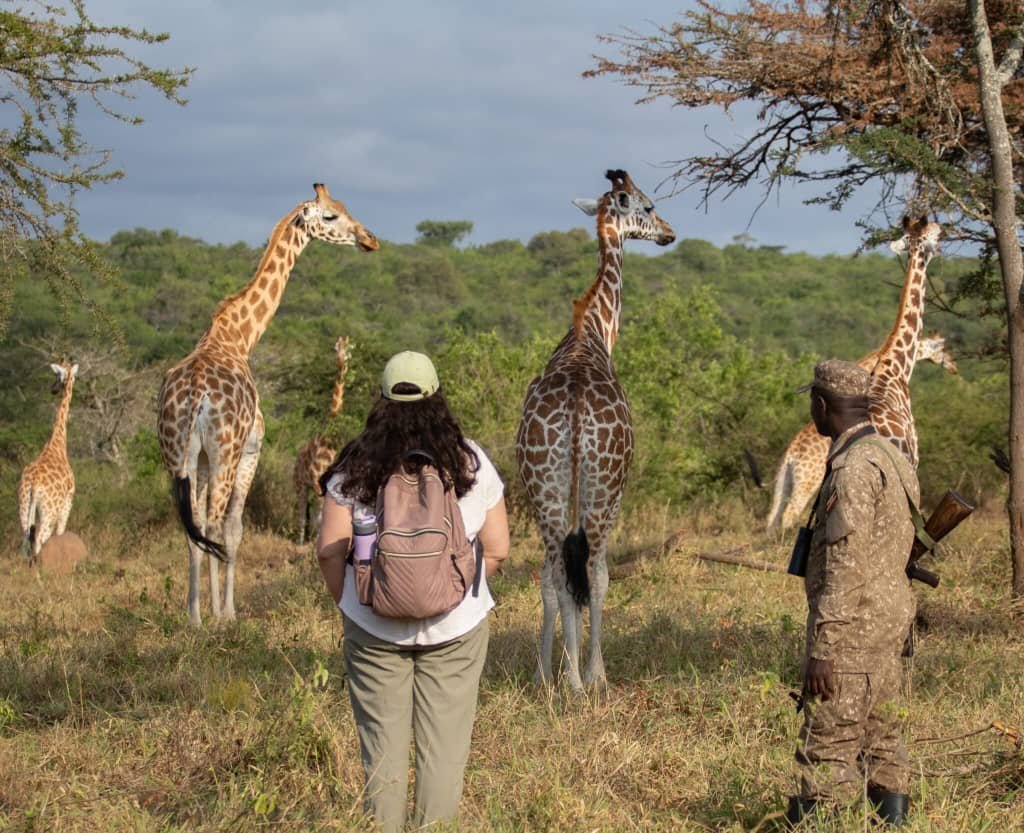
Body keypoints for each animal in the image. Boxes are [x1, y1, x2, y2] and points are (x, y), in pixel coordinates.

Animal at [17, 360, 78, 562]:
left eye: (56, 377)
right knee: (39, 539)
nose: (53, 389)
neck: (57, 442)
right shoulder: (68, 501)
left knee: (25, 539)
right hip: (49, 511)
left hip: (23, 505)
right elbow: (60, 533)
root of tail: (35, 484)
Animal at [293, 336, 352, 545]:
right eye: (335, 348)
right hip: (299, 484)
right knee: (300, 512)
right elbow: (320, 518)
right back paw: (300, 541)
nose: (340, 360)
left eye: (348, 349)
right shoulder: (317, 481)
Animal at [516, 170, 675, 690]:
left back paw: (558, 677)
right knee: (592, 569)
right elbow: (600, 577)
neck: (592, 330)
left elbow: (552, 580)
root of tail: (574, 412)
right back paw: (586, 679)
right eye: (648, 206)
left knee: (553, 571)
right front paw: (593, 672)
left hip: (543, 484)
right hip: (604, 487)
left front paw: (544, 672)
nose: (669, 232)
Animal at [766, 332, 956, 532]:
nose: (954, 367)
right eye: (943, 348)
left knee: (773, 517)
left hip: (785, 480)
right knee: (789, 515)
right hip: (807, 483)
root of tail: (791, 454)